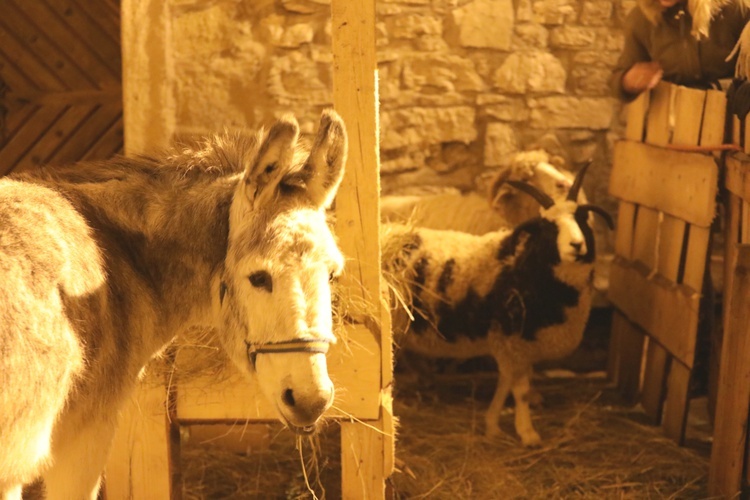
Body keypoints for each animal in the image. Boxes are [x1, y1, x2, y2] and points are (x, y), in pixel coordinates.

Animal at [384, 163, 612, 446]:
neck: (525, 265)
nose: (577, 245)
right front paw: (527, 433)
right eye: (548, 227)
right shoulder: (512, 339)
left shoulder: (514, 344)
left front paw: (492, 425)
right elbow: (520, 389)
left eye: (581, 218)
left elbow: (506, 383)